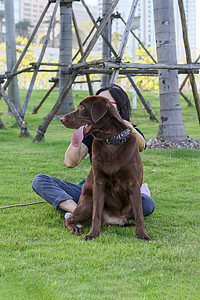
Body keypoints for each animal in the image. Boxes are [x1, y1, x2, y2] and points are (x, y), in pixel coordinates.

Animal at [60, 96, 151, 241]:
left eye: (81, 107)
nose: (61, 119)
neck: (111, 140)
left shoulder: (133, 184)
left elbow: (139, 215)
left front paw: (143, 235)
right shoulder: (99, 183)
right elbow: (96, 214)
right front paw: (92, 234)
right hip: (88, 201)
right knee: (68, 220)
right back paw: (74, 227)